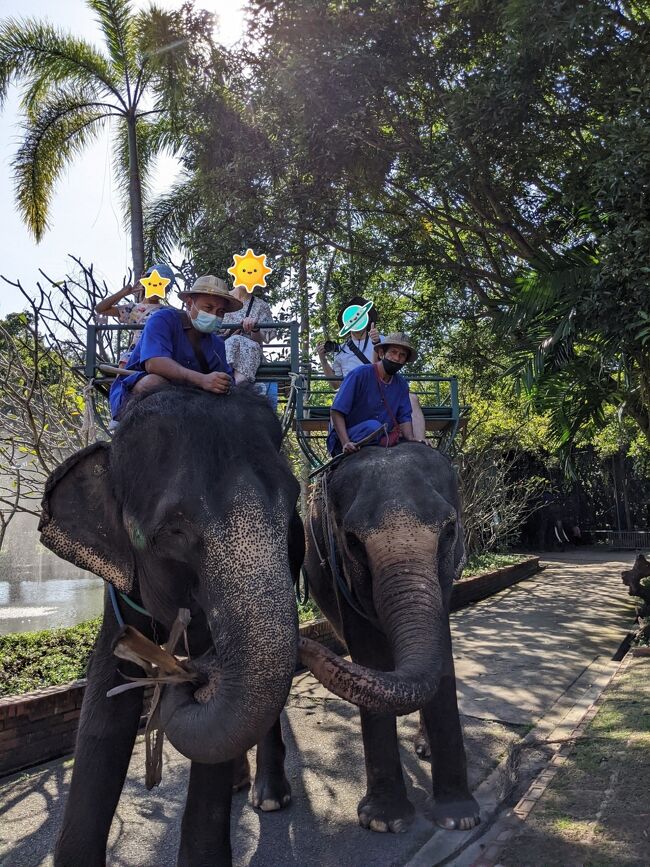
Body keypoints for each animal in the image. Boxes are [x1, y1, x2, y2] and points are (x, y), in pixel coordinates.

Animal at [39, 388, 302, 867]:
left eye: (290, 510)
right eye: (172, 533)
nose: (188, 677)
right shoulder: (118, 589)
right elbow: (106, 703)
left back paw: (269, 797)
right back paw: (241, 783)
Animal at [298, 448, 476, 836]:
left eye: (449, 530)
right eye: (352, 542)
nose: (298, 644)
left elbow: (442, 654)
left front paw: (458, 818)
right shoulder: (341, 576)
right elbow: (370, 657)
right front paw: (384, 822)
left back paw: (425, 749)